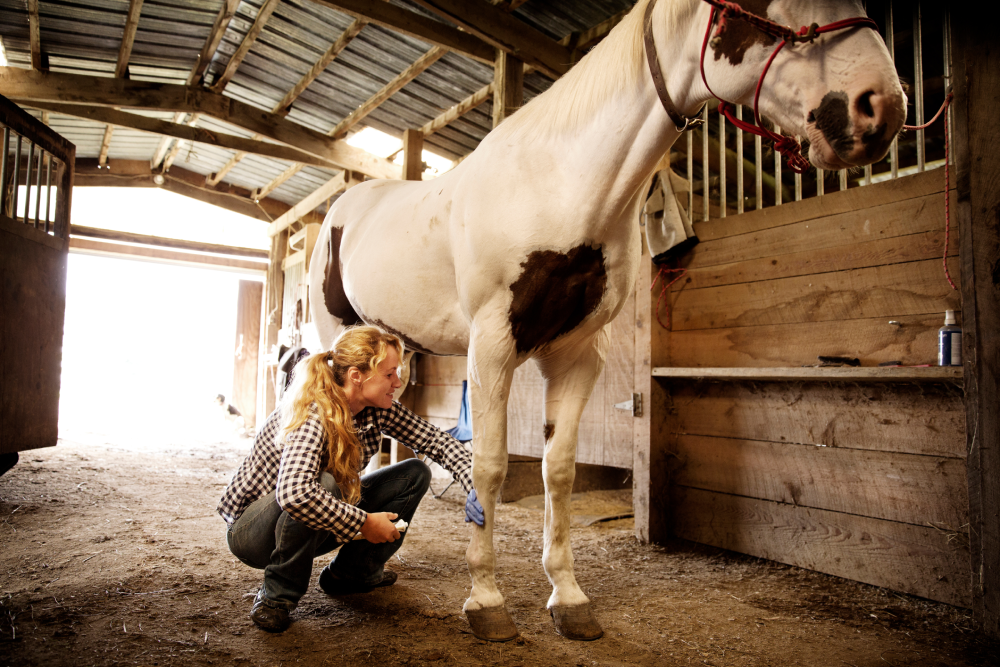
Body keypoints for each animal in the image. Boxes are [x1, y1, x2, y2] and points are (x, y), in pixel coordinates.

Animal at [309, 0, 906, 642]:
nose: (882, 106)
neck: (557, 183)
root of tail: (344, 207)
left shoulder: (575, 355)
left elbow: (560, 473)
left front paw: (568, 597)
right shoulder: (492, 347)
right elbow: (489, 468)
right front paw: (486, 600)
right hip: (339, 335)